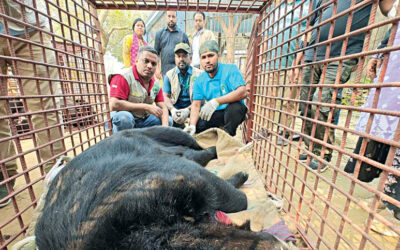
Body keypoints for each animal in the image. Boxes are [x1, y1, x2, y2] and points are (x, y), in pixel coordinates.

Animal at [35, 128, 288, 249]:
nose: (277, 244)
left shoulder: (184, 178)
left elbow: (236, 198)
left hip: (170, 132)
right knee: (195, 154)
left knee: (200, 150)